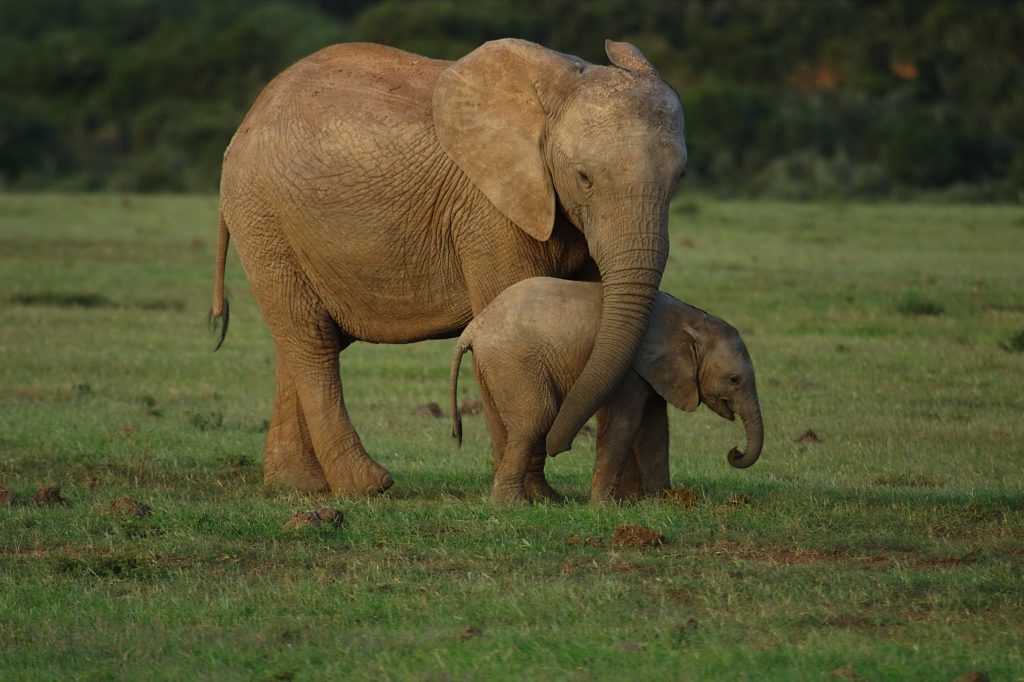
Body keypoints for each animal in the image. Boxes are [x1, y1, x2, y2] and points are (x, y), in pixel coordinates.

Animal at [209, 38, 688, 493]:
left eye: (680, 178)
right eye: (583, 177)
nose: (563, 445)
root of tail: (246, 121)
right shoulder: (489, 209)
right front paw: (534, 496)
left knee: (301, 339)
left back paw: (299, 485)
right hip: (264, 218)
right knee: (312, 341)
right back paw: (367, 485)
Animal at [448, 274, 761, 501]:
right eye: (734, 380)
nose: (734, 452)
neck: (693, 320)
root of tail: (475, 327)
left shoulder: (658, 371)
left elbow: (656, 427)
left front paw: (663, 500)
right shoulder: (632, 368)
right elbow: (624, 422)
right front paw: (601, 506)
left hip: (493, 364)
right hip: (515, 360)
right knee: (537, 418)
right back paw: (513, 504)